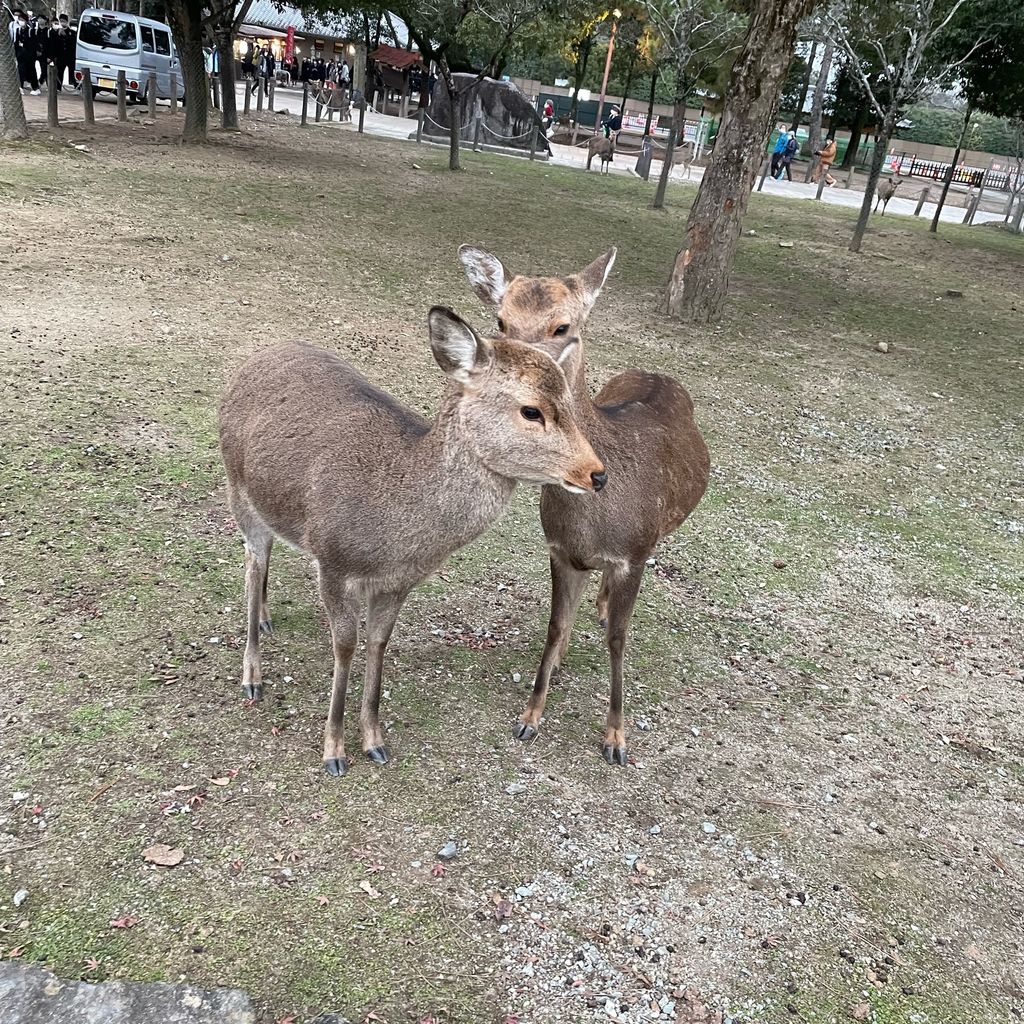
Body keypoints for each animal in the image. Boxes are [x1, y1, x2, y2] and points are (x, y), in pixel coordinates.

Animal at [219, 305, 602, 774]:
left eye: (571, 401)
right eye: (532, 411)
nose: (596, 473)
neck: (396, 538)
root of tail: (255, 358)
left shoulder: (399, 583)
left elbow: (378, 642)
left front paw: (375, 742)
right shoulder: (333, 561)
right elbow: (345, 646)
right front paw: (334, 752)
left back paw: (266, 620)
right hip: (237, 489)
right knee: (252, 563)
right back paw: (252, 676)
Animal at [460, 243, 708, 765]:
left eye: (562, 326)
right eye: (500, 321)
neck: (592, 521)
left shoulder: (633, 553)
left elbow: (618, 638)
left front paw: (615, 738)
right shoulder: (558, 549)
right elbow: (554, 625)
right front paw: (530, 715)